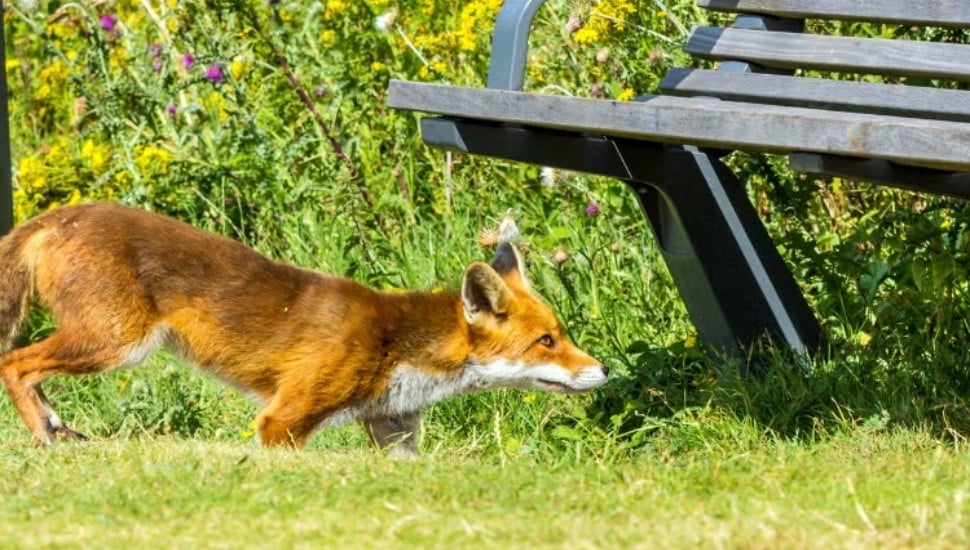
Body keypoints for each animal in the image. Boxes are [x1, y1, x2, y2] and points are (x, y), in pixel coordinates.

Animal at [0, 203, 607, 455]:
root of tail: (59, 214)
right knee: (14, 362)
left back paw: (55, 427)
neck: (397, 348)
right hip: (115, 343)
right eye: (547, 342)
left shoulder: (393, 431)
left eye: (562, 333)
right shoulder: (283, 421)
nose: (603, 369)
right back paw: (43, 435)